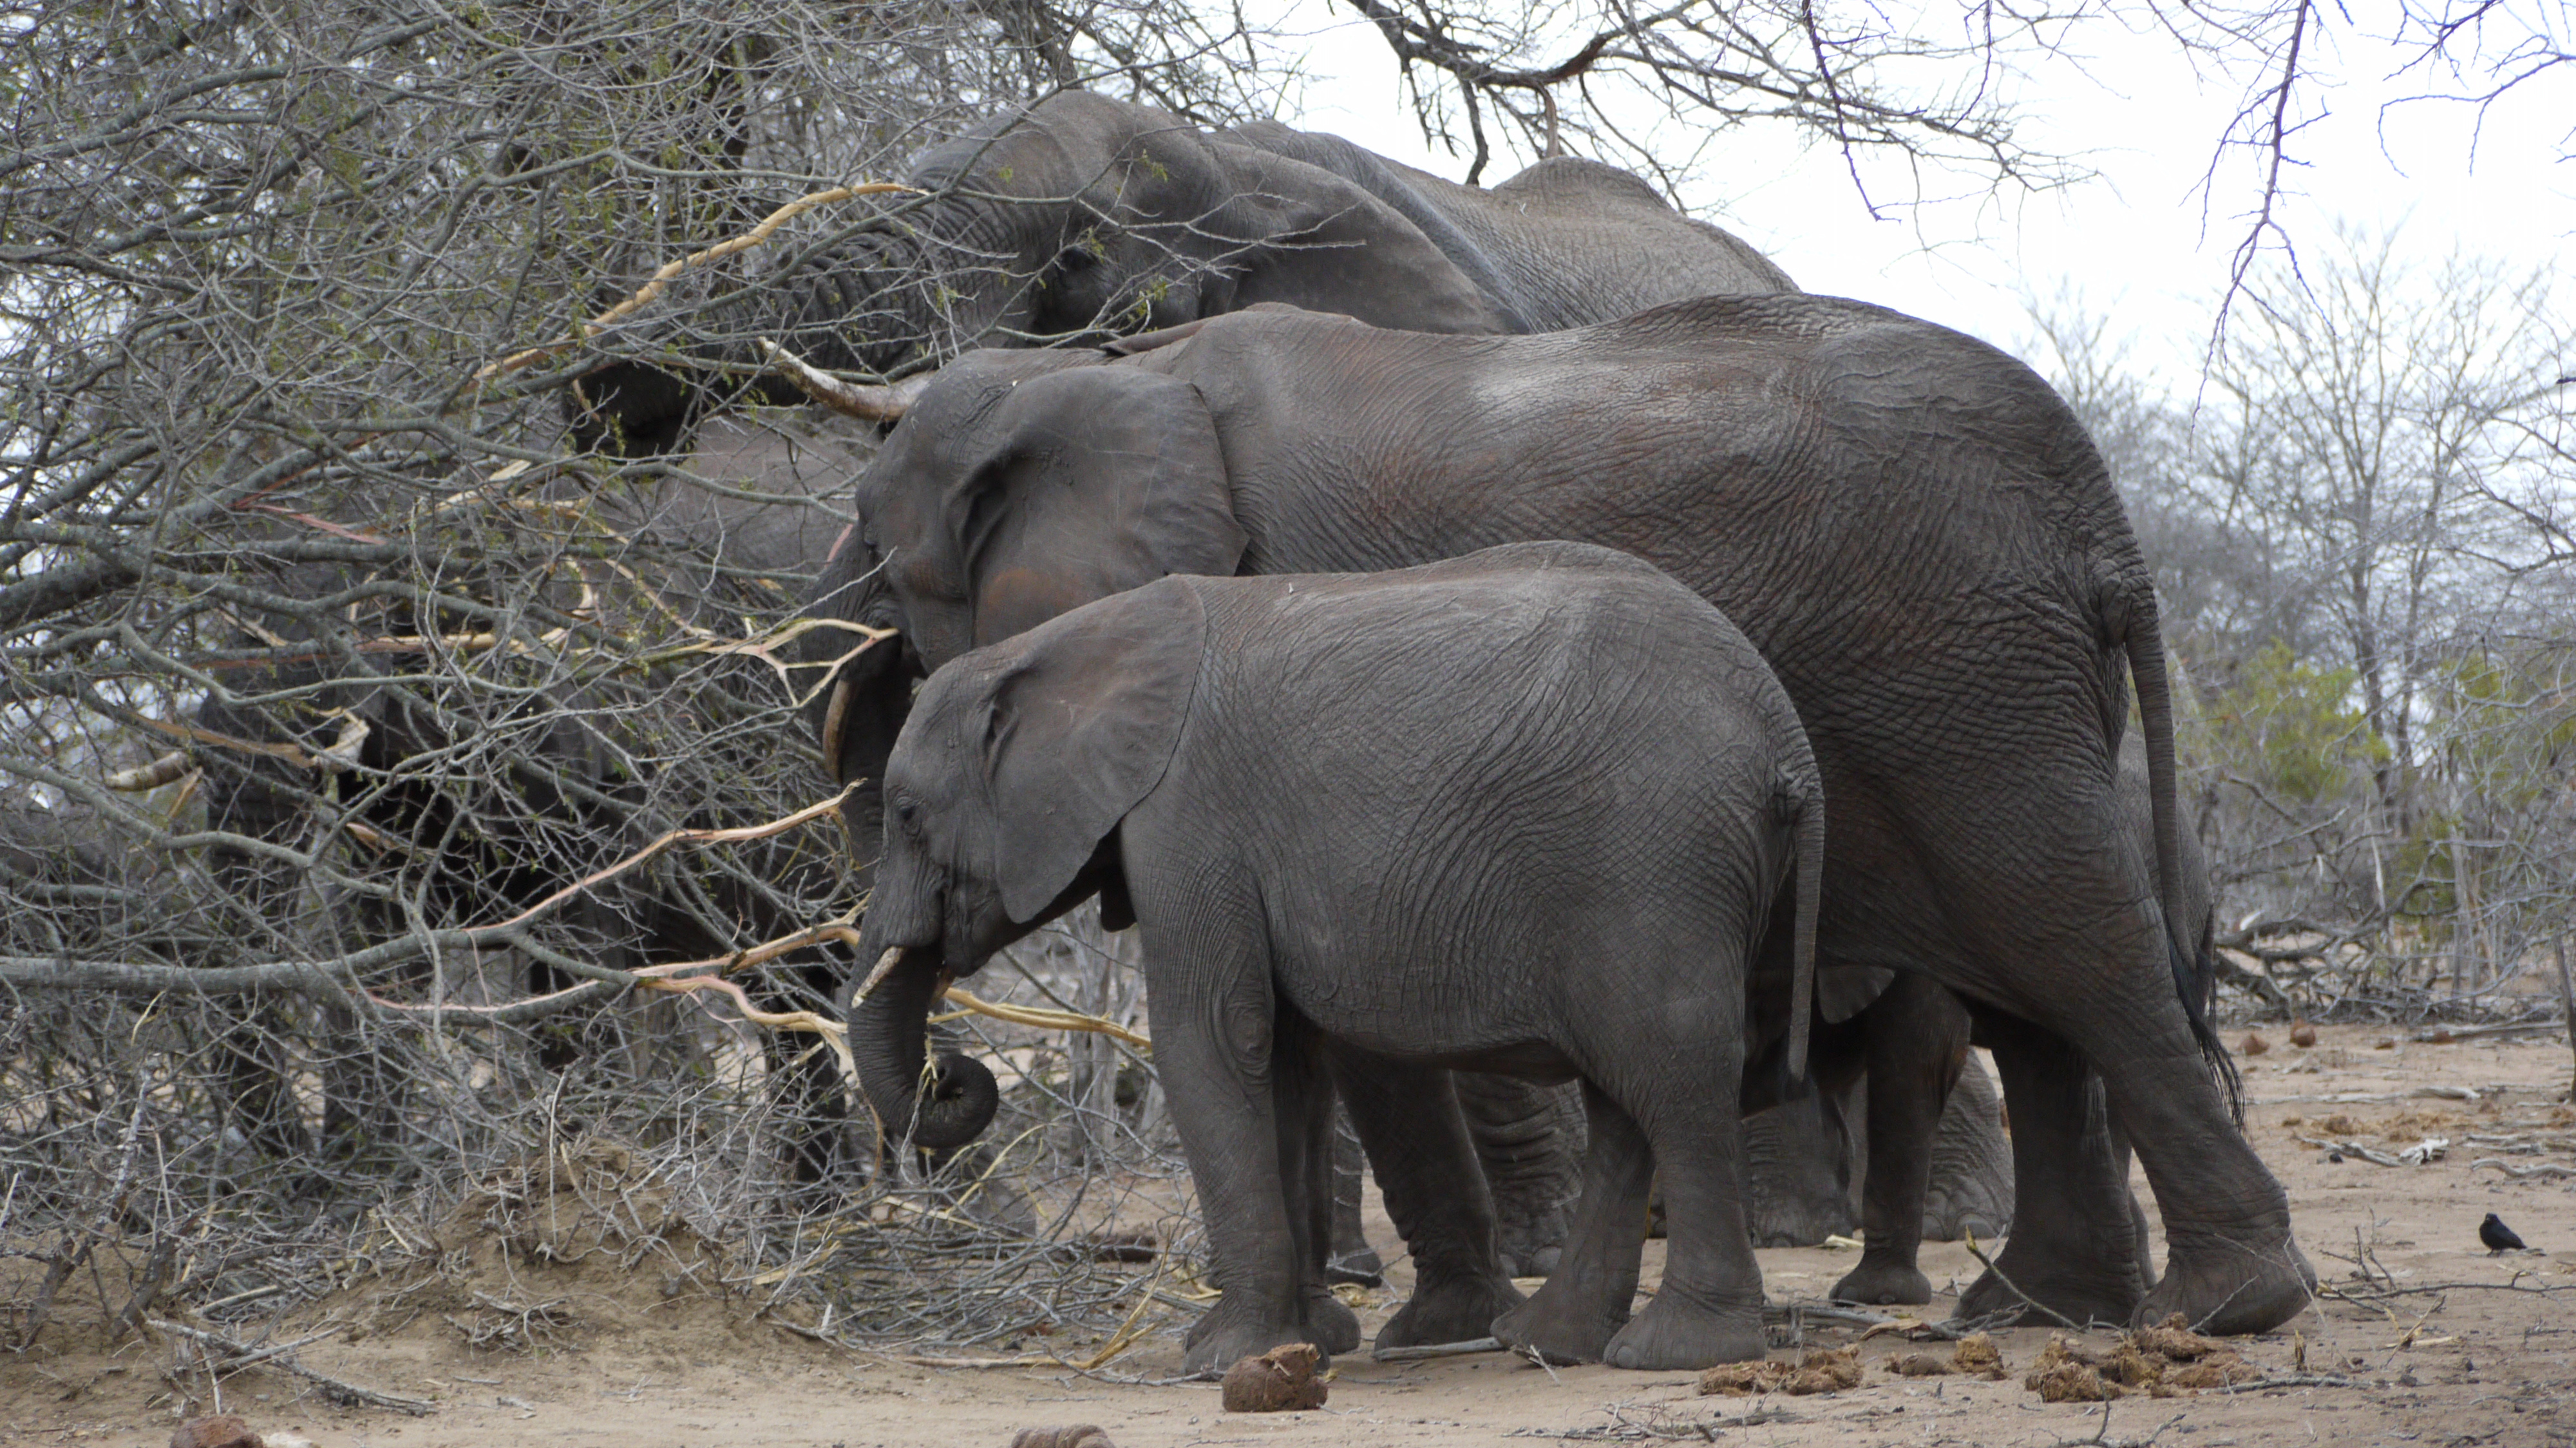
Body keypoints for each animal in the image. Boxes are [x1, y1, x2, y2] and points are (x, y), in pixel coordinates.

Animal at [850, 542, 1824, 1372]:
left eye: (906, 813)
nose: (956, 1077)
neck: (1060, 643)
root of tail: (1788, 738)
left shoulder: (1189, 820)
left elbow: (1210, 1037)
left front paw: (1219, 1360)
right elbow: (1283, 1057)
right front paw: (1303, 1342)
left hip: (1657, 860)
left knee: (1672, 1070)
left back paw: (1680, 1352)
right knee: (1626, 1088)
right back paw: (1550, 1341)